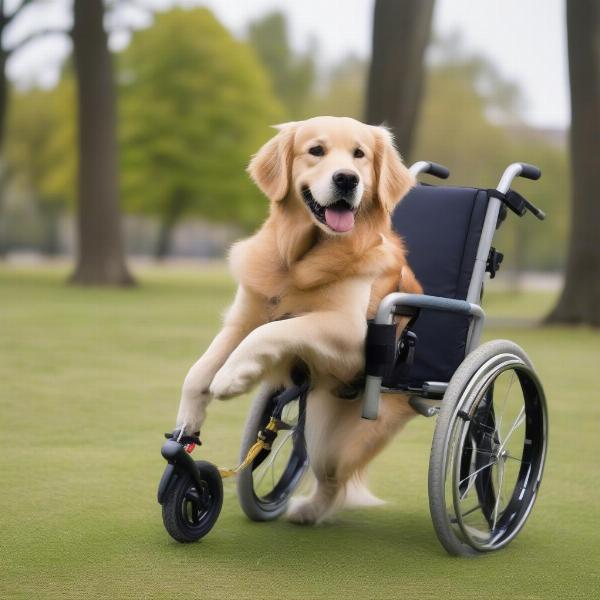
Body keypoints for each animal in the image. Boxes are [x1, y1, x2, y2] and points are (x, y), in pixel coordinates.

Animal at [176, 115, 424, 524]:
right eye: (316, 150)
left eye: (359, 154)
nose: (347, 179)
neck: (300, 259)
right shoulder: (243, 318)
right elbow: (198, 372)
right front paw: (187, 425)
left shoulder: (350, 334)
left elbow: (275, 330)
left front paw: (232, 377)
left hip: (350, 437)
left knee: (333, 478)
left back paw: (308, 510)